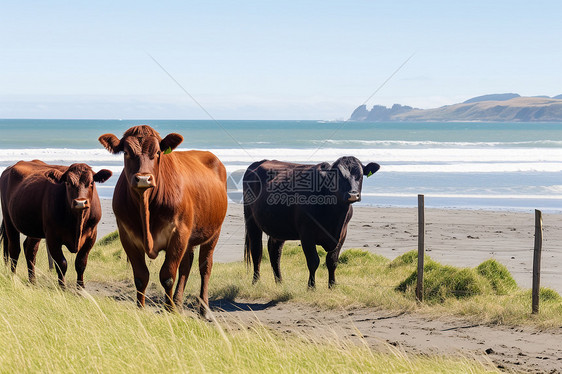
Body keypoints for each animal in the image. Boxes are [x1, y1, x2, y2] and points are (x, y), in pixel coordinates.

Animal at [98, 125, 228, 316]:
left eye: (158, 152)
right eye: (127, 152)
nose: (143, 178)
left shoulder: (178, 232)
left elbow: (167, 275)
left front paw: (169, 310)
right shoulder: (127, 236)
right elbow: (141, 276)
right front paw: (141, 308)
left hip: (213, 233)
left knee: (205, 266)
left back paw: (203, 309)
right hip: (190, 238)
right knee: (186, 265)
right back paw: (179, 302)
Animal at [243, 156, 378, 288]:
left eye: (360, 175)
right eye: (339, 175)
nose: (353, 195)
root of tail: (258, 163)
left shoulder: (342, 234)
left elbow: (332, 261)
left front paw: (332, 286)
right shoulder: (306, 233)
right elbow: (313, 261)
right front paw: (311, 287)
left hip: (278, 227)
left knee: (275, 252)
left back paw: (280, 283)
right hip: (251, 220)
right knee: (256, 251)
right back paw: (256, 282)